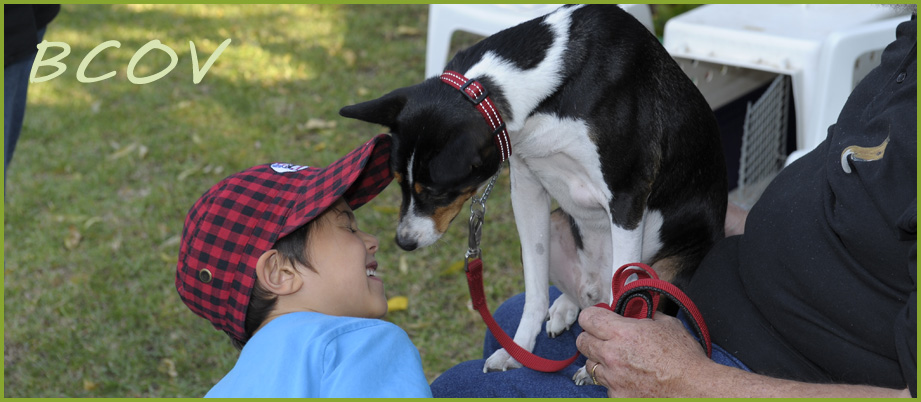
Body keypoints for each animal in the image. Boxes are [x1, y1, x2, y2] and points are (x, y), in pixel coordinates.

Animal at [338, 5, 724, 384]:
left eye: (434, 190)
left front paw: (598, 366)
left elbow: (623, 297)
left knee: (622, 295)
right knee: (583, 295)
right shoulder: (527, 187)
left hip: (664, 271)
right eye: (398, 182)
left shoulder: (627, 198)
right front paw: (518, 351)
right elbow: (534, 291)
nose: (403, 242)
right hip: (557, 225)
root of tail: (594, 289)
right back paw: (566, 307)